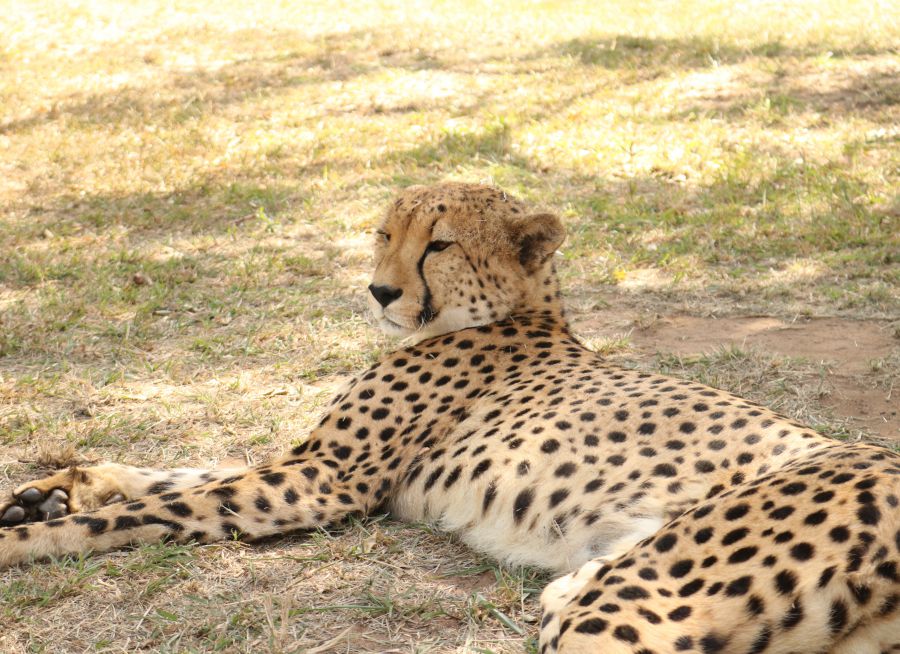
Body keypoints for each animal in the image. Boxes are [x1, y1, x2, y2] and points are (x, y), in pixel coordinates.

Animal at [1, 182, 900, 652]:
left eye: (436, 245)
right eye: (382, 233)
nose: (378, 290)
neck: (519, 313)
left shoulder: (324, 482)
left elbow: (159, 505)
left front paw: (25, 534)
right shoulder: (311, 465)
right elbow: (180, 471)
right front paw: (49, 489)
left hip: (639, 598)